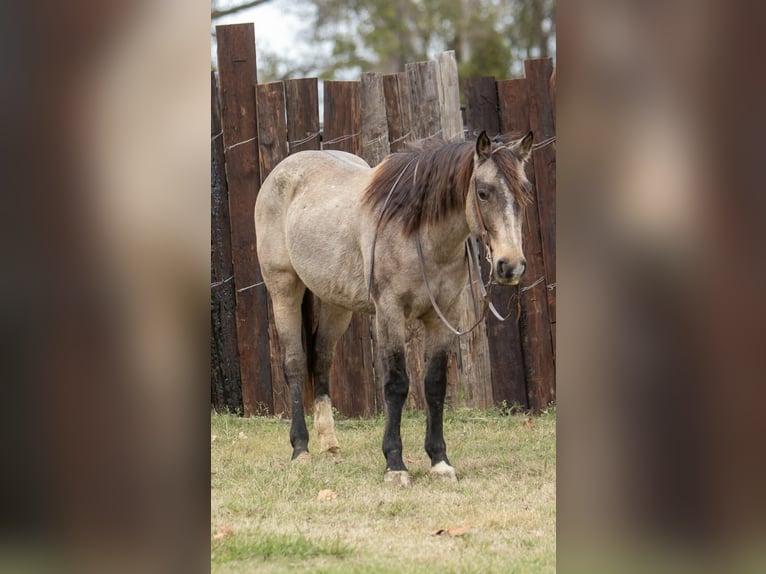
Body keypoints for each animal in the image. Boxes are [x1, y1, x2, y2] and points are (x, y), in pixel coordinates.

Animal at [254, 130, 534, 486]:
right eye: (483, 192)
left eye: (525, 191)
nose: (511, 266)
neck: (417, 231)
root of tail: (282, 171)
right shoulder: (389, 313)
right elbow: (397, 385)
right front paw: (395, 463)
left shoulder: (444, 316)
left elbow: (435, 385)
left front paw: (439, 461)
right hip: (284, 290)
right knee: (294, 363)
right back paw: (301, 448)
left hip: (335, 303)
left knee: (321, 360)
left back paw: (329, 443)